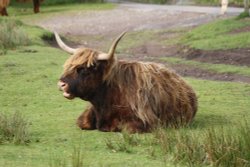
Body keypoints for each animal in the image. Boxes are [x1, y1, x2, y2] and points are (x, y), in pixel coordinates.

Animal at [55, 31, 198, 133]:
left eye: (84, 69)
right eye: (69, 66)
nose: (61, 84)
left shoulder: (145, 121)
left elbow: (125, 128)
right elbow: (81, 123)